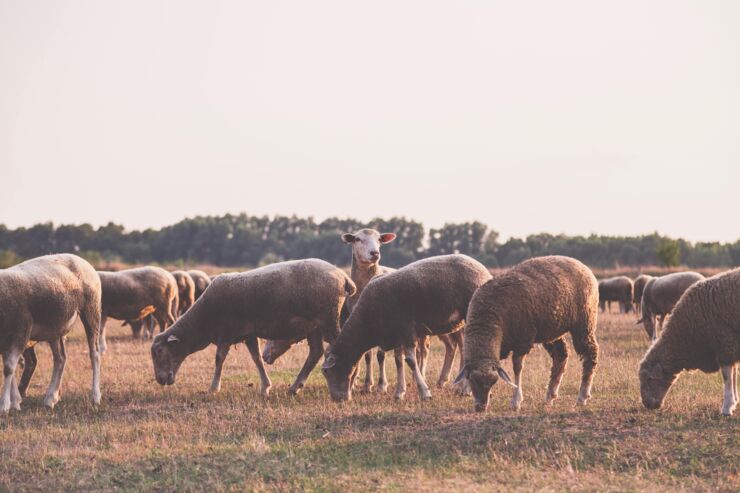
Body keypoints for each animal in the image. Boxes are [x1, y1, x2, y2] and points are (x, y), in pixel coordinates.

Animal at [0, 254, 102, 412]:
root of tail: (81, 259)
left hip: (91, 309)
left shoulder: (21, 330)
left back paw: (95, 397)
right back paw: (50, 398)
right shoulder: (5, 339)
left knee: (94, 354)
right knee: (60, 358)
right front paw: (15, 401)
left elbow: (9, 368)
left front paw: (5, 405)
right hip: (55, 327)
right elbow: (10, 367)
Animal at [150, 258, 356, 396]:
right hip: (313, 325)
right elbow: (256, 358)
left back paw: (350, 382)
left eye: (159, 351)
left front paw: (213, 388)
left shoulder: (226, 332)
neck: (203, 320)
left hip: (328, 318)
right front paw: (265, 387)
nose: (160, 380)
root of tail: (342, 276)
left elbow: (219, 359)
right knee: (315, 352)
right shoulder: (248, 333)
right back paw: (294, 387)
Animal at [322, 254, 492, 400]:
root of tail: (484, 271)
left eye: (329, 372)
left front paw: (424, 393)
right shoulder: (396, 334)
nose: (338, 399)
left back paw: (467, 390)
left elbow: (410, 361)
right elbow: (399, 361)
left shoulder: (406, 330)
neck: (367, 322)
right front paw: (399, 392)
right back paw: (463, 387)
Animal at [450, 256, 600, 414]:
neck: (488, 318)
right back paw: (550, 396)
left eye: (493, 382)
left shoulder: (523, 340)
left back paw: (582, 396)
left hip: (584, 322)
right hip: (552, 330)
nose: (481, 408)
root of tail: (581, 264)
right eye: (471, 380)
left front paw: (516, 401)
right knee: (561, 355)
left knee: (590, 354)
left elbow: (517, 367)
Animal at [636, 268, 740, 414]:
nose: (647, 404)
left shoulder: (725, 342)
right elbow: (734, 373)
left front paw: (727, 407)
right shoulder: (731, 346)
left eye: (649, 379)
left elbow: (727, 376)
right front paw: (734, 402)